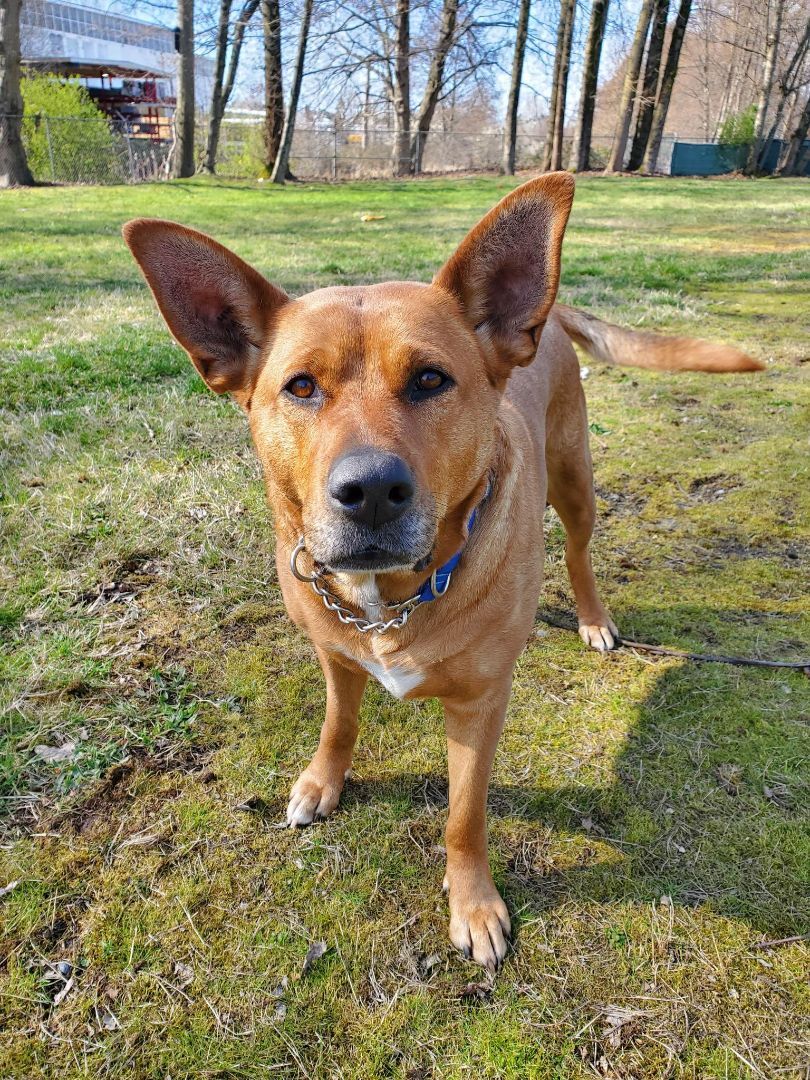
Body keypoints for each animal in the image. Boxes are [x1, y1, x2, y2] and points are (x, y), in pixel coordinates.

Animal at [123, 174, 764, 972]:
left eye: (430, 379)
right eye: (300, 388)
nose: (369, 490)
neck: (392, 600)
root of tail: (545, 318)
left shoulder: (481, 705)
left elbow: (464, 815)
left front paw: (474, 904)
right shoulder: (335, 655)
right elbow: (339, 722)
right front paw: (323, 781)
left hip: (575, 481)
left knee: (580, 551)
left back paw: (592, 620)